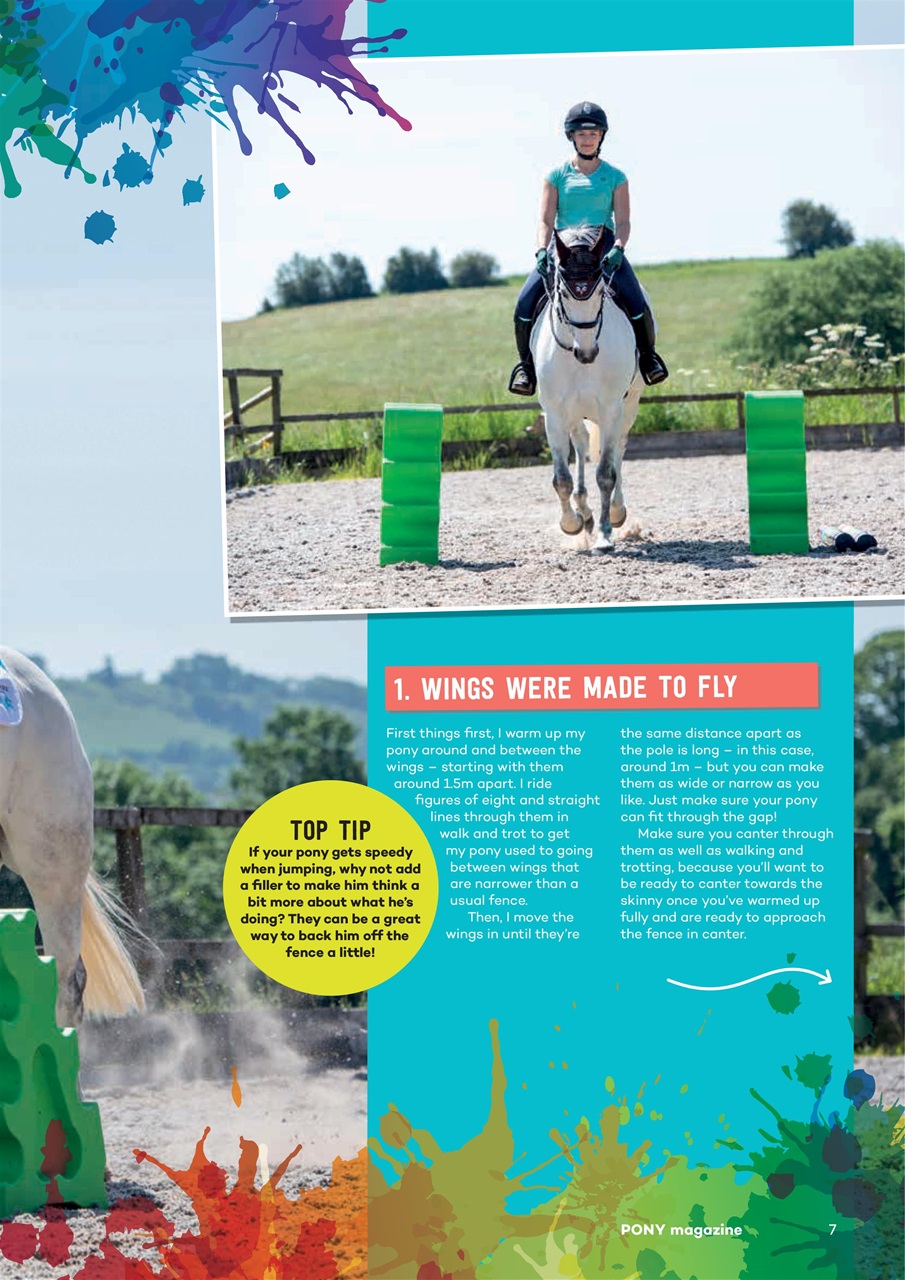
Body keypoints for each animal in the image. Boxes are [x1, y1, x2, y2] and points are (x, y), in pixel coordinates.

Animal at [532, 226, 644, 552]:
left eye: (600, 291)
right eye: (564, 292)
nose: (587, 353)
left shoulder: (610, 410)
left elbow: (606, 474)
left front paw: (605, 535)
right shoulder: (554, 415)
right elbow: (561, 478)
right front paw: (571, 524)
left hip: (628, 406)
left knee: (618, 447)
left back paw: (617, 512)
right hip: (573, 412)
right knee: (581, 443)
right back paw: (584, 510)